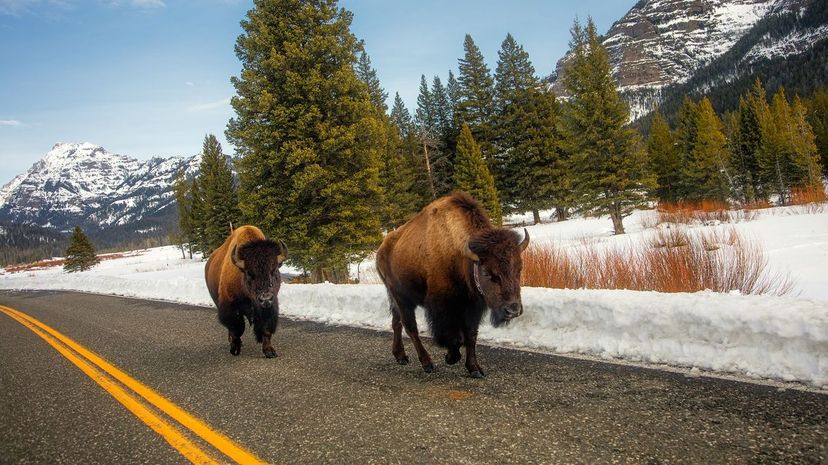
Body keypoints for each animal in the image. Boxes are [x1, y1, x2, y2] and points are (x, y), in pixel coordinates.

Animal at [205, 225, 288, 358]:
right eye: (249, 273)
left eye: (274, 270)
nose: (265, 299)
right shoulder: (230, 307)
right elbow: (237, 328)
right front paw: (235, 348)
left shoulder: (270, 307)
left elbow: (266, 329)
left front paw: (269, 351)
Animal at [376, 192, 532, 376]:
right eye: (487, 272)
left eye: (519, 268)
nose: (513, 310)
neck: (460, 257)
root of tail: (382, 249)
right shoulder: (442, 307)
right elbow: (453, 336)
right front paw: (451, 358)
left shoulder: (472, 307)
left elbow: (470, 335)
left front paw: (475, 369)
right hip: (401, 297)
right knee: (411, 327)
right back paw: (427, 363)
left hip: (396, 299)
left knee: (397, 323)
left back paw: (401, 356)